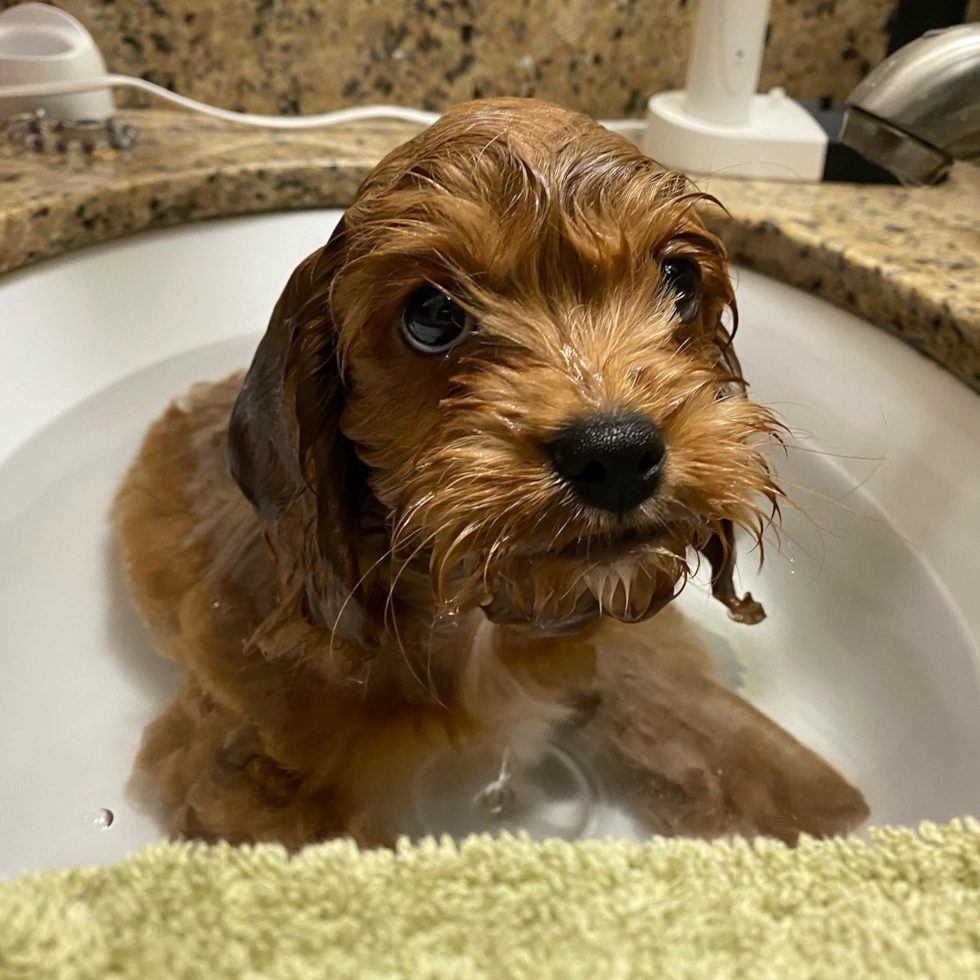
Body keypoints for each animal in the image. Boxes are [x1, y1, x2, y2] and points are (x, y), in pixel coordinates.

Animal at [115, 101, 864, 848]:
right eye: (431, 314)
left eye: (679, 280)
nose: (618, 451)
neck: (473, 619)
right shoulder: (243, 768)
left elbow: (673, 700)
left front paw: (805, 801)